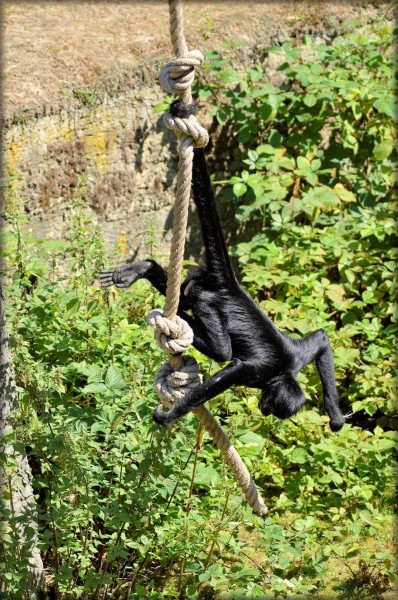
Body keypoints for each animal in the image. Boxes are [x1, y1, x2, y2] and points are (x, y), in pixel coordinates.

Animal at [101, 102, 346, 432]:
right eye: (274, 407)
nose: (265, 410)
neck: (282, 370)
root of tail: (230, 283)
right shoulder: (256, 370)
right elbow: (231, 367)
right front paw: (169, 415)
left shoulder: (298, 356)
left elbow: (320, 339)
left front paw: (335, 416)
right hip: (207, 297)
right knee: (221, 349)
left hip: (198, 284)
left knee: (184, 297)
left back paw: (144, 271)